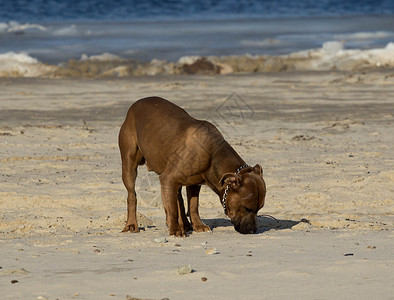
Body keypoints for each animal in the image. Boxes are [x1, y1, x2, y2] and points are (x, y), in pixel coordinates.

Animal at [118, 97, 266, 236]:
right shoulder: (168, 178)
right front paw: (175, 230)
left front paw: (197, 225)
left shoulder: (194, 184)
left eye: (260, 208)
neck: (212, 154)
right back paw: (132, 224)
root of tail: (136, 104)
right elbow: (172, 208)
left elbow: (193, 206)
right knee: (132, 195)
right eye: (247, 208)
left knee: (178, 199)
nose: (253, 230)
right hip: (129, 165)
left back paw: (184, 224)